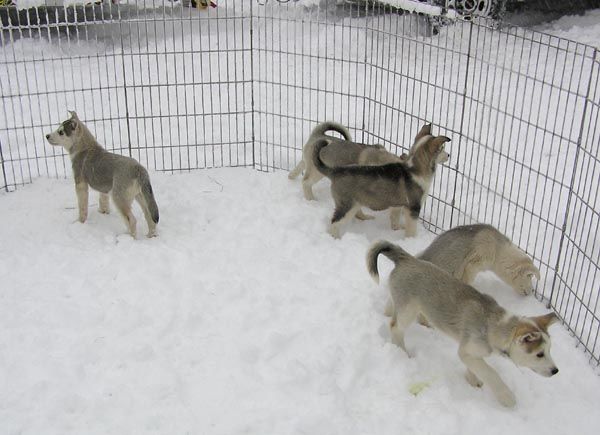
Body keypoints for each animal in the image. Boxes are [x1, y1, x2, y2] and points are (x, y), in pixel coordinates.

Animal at [45, 109, 158, 238]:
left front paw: (80, 222)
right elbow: (102, 200)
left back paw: (129, 237)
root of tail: (138, 169)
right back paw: (151, 235)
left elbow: (82, 207)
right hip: (141, 196)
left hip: (119, 197)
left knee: (132, 220)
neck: (84, 147)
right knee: (150, 216)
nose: (47, 136)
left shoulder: (80, 184)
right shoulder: (103, 188)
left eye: (61, 132)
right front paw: (103, 212)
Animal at [368, 242, 560, 408]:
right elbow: (491, 372)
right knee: (395, 327)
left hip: (402, 302)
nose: (556, 371)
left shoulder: (472, 353)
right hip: (409, 310)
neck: (493, 325)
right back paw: (401, 351)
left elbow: (478, 368)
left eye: (550, 350)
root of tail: (407, 258)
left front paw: (472, 380)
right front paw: (507, 397)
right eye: (539, 354)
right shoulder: (466, 351)